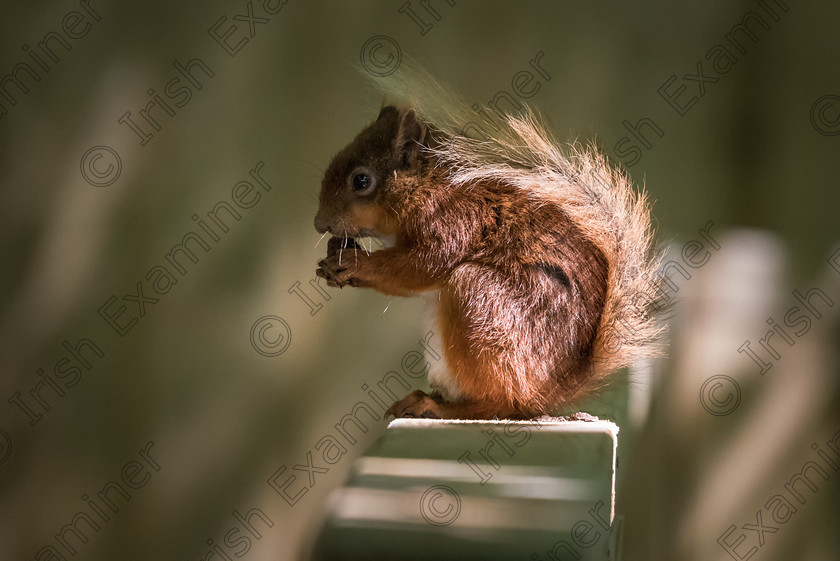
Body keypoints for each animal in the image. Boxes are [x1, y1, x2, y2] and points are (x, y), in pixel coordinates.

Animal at [312, 65, 660, 418]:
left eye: (361, 180)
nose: (318, 224)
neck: (428, 185)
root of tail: (550, 393)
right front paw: (334, 258)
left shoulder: (456, 220)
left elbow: (422, 265)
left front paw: (357, 264)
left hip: (481, 304)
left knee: (501, 404)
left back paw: (438, 408)